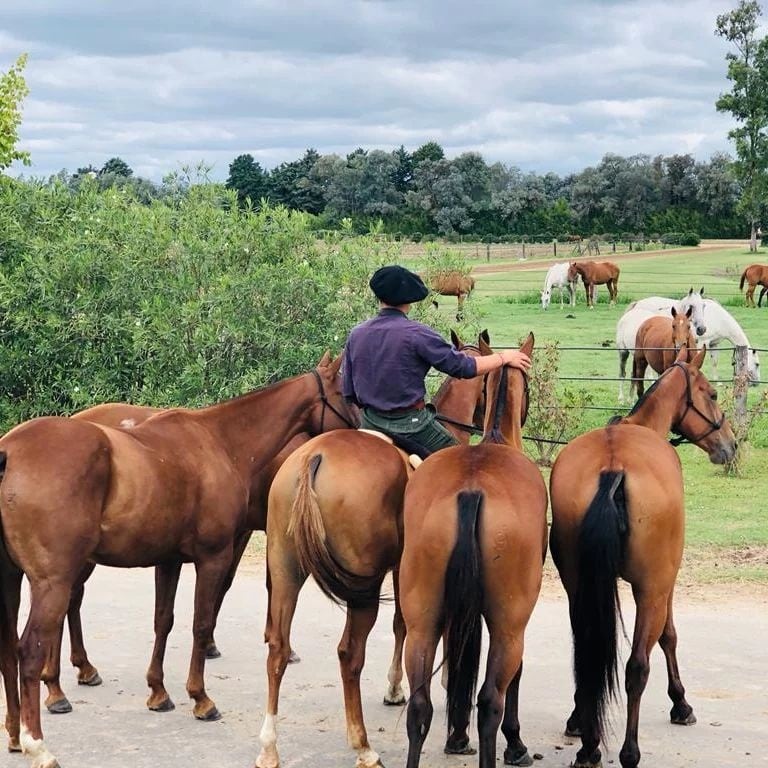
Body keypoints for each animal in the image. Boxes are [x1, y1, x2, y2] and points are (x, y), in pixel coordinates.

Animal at [0, 356, 356, 768]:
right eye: (344, 395)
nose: (363, 433)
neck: (221, 442)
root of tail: (9, 451)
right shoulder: (214, 557)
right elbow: (201, 624)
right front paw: (200, 698)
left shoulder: (168, 560)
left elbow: (164, 621)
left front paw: (158, 692)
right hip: (52, 580)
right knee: (31, 649)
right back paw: (39, 740)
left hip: (14, 577)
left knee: (10, 648)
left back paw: (16, 732)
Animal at [252, 332, 492, 768]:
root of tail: (314, 457)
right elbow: (404, 624)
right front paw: (406, 686)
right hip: (361, 586)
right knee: (350, 653)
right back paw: (363, 745)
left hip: (285, 569)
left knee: (278, 648)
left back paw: (269, 747)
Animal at [400, 334, 548, 768]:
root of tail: (472, 488)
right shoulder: (513, 621)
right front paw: (514, 743)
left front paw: (456, 734)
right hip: (508, 627)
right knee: (490, 700)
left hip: (423, 620)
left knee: (419, 706)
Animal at [548, 346, 736, 768]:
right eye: (713, 394)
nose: (730, 445)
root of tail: (613, 468)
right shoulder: (665, 585)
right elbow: (669, 636)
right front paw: (680, 704)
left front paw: (575, 719)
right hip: (651, 589)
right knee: (636, 667)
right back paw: (628, 750)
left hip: (580, 588)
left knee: (585, 655)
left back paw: (589, 744)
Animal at [616, 290, 760, 402]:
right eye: (757, 364)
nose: (757, 383)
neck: (719, 318)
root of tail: (636, 305)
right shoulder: (703, 342)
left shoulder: (714, 344)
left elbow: (714, 362)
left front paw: (717, 382)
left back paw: (630, 398)